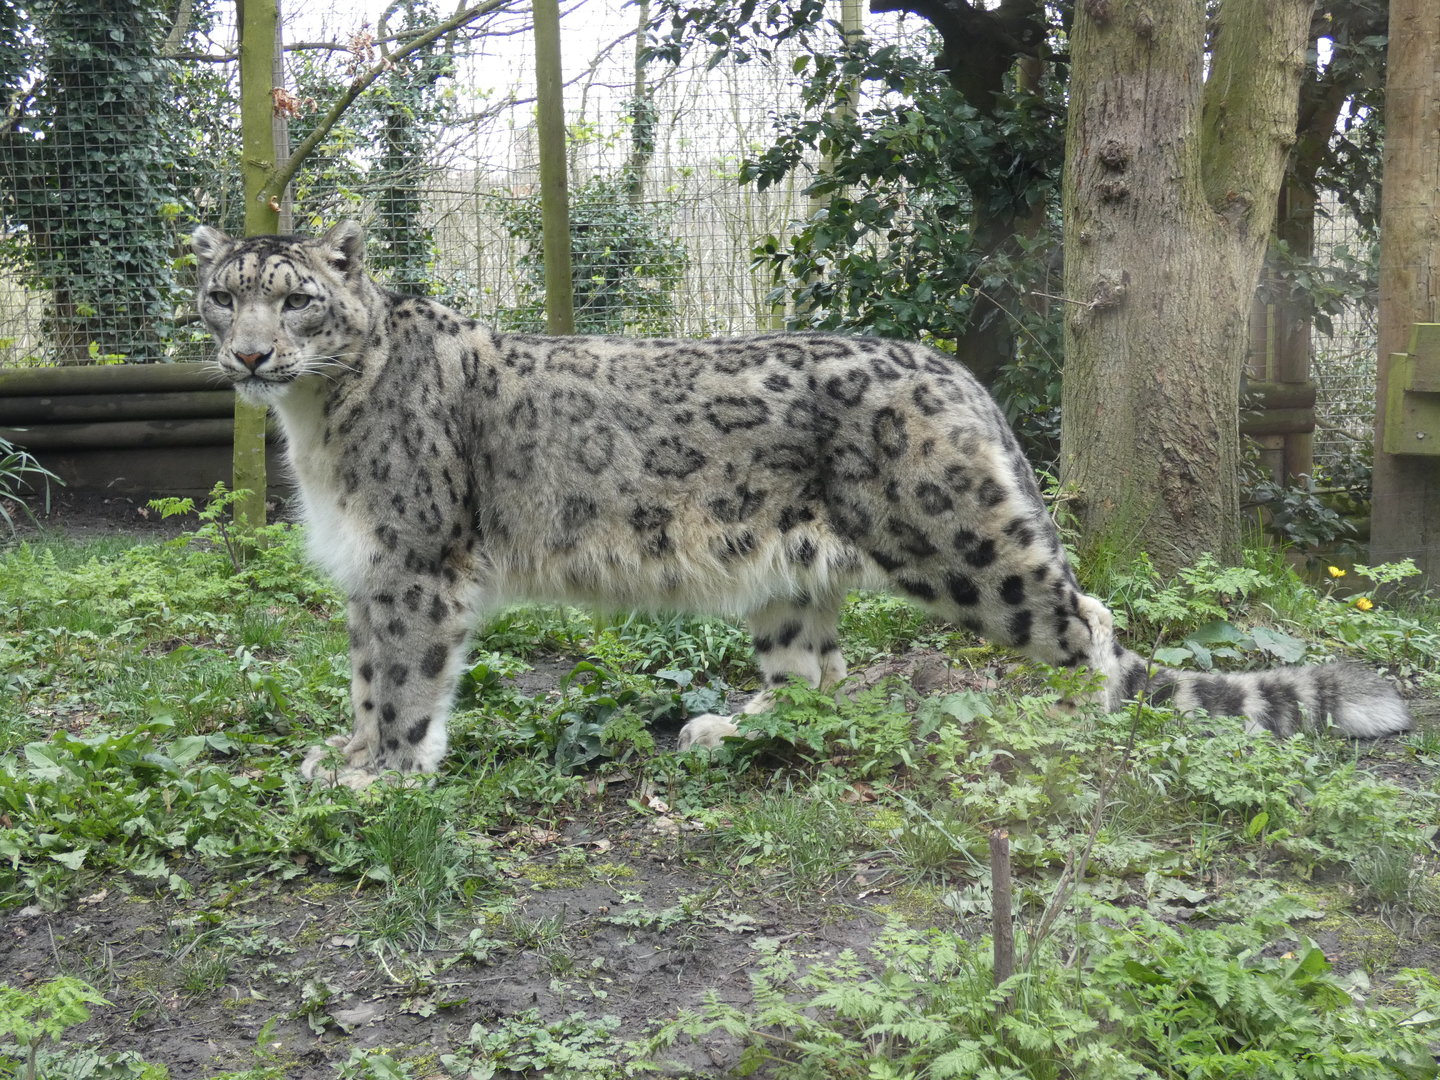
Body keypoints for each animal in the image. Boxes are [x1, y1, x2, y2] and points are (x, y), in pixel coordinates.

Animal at [190, 220, 1411, 785]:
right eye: (219, 294)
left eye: (296, 301)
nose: (249, 355)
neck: (315, 428)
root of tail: (955, 372)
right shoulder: (367, 575)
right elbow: (362, 678)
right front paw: (344, 755)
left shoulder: (414, 566)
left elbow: (404, 683)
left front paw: (382, 779)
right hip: (785, 579)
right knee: (817, 677)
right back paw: (729, 724)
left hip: (969, 553)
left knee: (1092, 624)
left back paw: (1081, 711)